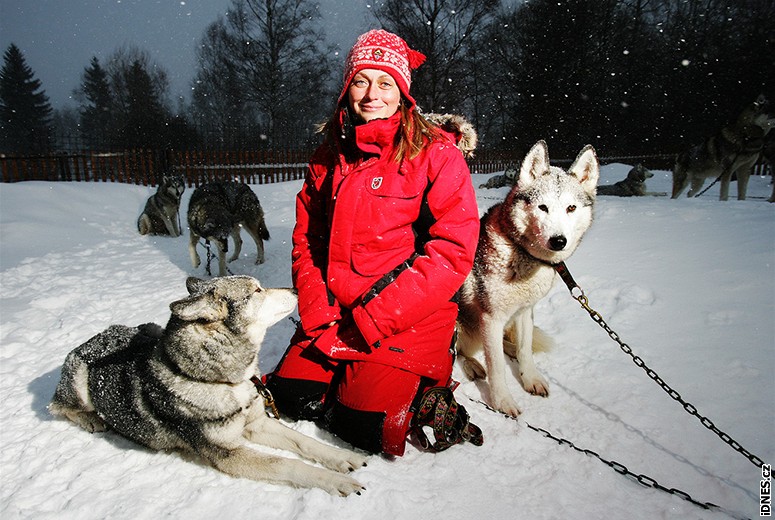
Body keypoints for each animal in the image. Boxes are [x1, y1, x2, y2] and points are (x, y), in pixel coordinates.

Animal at [49, 276, 366, 496]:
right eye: (256, 290)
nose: (297, 290)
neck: (224, 380)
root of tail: (94, 338)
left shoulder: (256, 424)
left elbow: (304, 441)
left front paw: (343, 457)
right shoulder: (227, 453)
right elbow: (286, 464)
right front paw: (335, 480)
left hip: (147, 327)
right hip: (78, 377)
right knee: (58, 406)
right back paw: (91, 419)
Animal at [458, 140, 604, 416]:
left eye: (571, 208)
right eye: (542, 207)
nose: (558, 241)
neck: (521, 253)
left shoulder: (525, 311)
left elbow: (525, 350)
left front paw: (531, 378)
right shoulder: (491, 318)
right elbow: (497, 367)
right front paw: (503, 401)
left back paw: (509, 348)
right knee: (459, 352)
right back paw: (472, 365)